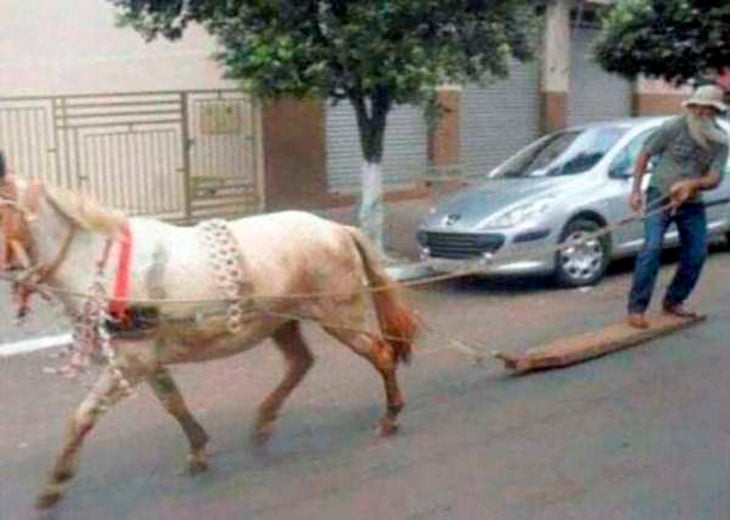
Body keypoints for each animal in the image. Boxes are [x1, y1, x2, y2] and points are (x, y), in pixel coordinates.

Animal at [0, 166, 418, 508]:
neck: (103, 265)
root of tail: (338, 230)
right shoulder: (145, 360)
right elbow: (174, 403)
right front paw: (199, 449)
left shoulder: (131, 363)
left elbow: (82, 417)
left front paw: (55, 484)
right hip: (280, 321)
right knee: (301, 362)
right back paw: (264, 421)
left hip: (340, 315)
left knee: (381, 354)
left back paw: (390, 417)